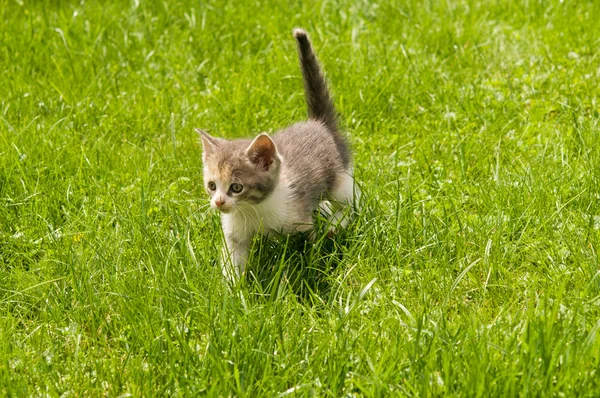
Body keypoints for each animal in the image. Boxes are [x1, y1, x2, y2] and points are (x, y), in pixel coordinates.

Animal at [197, 28, 358, 280]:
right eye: (212, 185)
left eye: (236, 187)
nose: (219, 202)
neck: (253, 210)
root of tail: (319, 123)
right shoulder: (235, 234)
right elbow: (234, 261)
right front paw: (232, 287)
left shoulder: (300, 221)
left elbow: (309, 248)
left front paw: (308, 271)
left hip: (340, 181)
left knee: (352, 205)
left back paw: (334, 224)